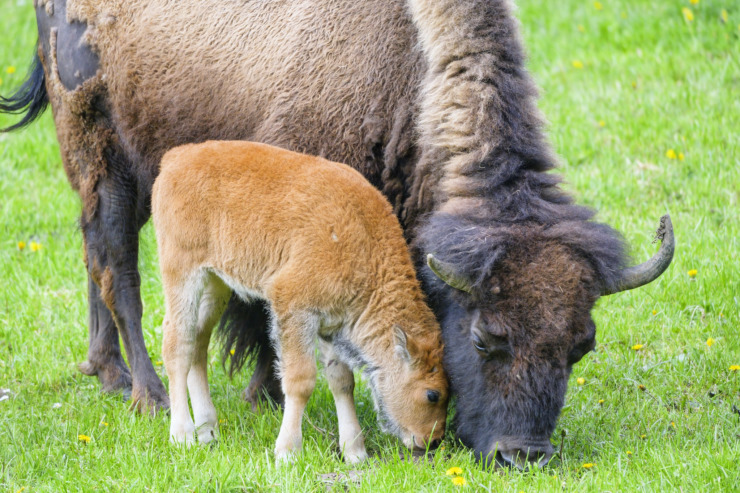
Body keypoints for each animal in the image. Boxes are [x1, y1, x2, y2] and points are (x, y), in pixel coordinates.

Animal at [153, 139, 448, 462]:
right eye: (433, 394)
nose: (432, 441)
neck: (365, 243)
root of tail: (176, 158)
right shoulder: (294, 308)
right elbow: (301, 381)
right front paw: (287, 452)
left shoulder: (332, 324)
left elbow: (342, 381)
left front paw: (355, 452)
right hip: (182, 273)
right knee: (177, 344)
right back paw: (182, 435)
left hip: (215, 284)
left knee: (199, 344)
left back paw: (208, 431)